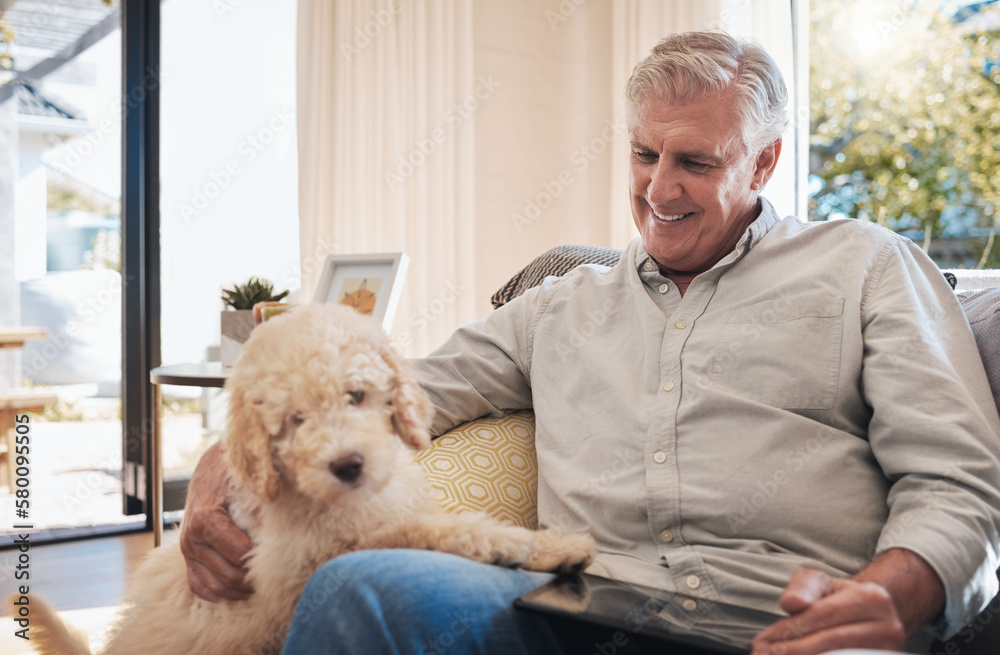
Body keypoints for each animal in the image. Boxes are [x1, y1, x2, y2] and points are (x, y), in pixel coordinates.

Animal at [21, 304, 592, 652]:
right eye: (293, 421)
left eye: (356, 395)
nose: (347, 464)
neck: (345, 504)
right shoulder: (301, 579)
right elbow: (416, 533)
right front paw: (508, 545)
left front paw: (552, 545)